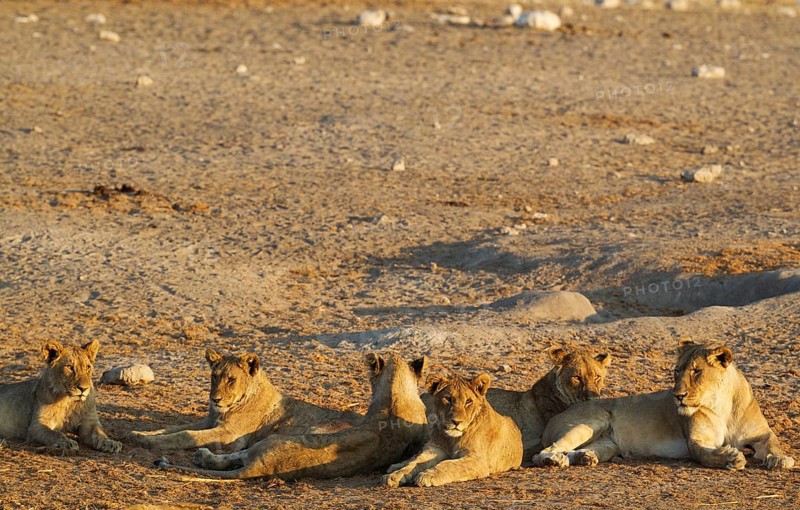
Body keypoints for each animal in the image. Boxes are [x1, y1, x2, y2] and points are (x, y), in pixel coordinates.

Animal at [130, 348, 361, 451]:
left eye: (231, 380)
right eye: (214, 376)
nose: (214, 399)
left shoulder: (230, 433)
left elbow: (184, 435)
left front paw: (148, 441)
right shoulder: (207, 421)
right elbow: (173, 428)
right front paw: (140, 434)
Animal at [383, 372, 523, 487]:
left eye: (468, 401)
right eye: (448, 398)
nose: (456, 422)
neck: (451, 439)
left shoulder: (478, 460)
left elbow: (449, 464)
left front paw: (428, 475)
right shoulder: (434, 449)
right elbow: (415, 462)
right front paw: (396, 475)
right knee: (413, 457)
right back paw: (394, 467)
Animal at [533, 340, 795, 471]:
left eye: (696, 372)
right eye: (677, 371)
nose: (677, 395)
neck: (722, 405)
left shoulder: (761, 434)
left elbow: (774, 443)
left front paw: (781, 459)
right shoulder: (696, 441)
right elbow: (705, 455)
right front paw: (730, 458)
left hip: (608, 445)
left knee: (584, 450)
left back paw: (584, 457)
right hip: (592, 421)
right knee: (544, 452)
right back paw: (555, 460)